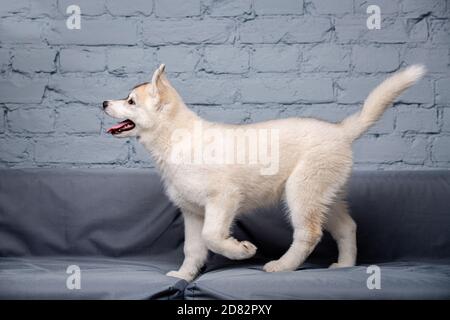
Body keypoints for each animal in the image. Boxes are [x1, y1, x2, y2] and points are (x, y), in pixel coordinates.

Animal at [102, 63, 426, 282]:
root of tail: (340, 130)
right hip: (324, 194)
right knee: (347, 227)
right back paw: (345, 266)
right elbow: (193, 248)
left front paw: (242, 251)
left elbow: (212, 236)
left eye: (130, 101)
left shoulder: (223, 198)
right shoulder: (192, 211)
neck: (176, 139)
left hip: (301, 191)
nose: (103, 102)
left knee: (309, 233)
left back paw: (282, 266)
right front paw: (184, 276)